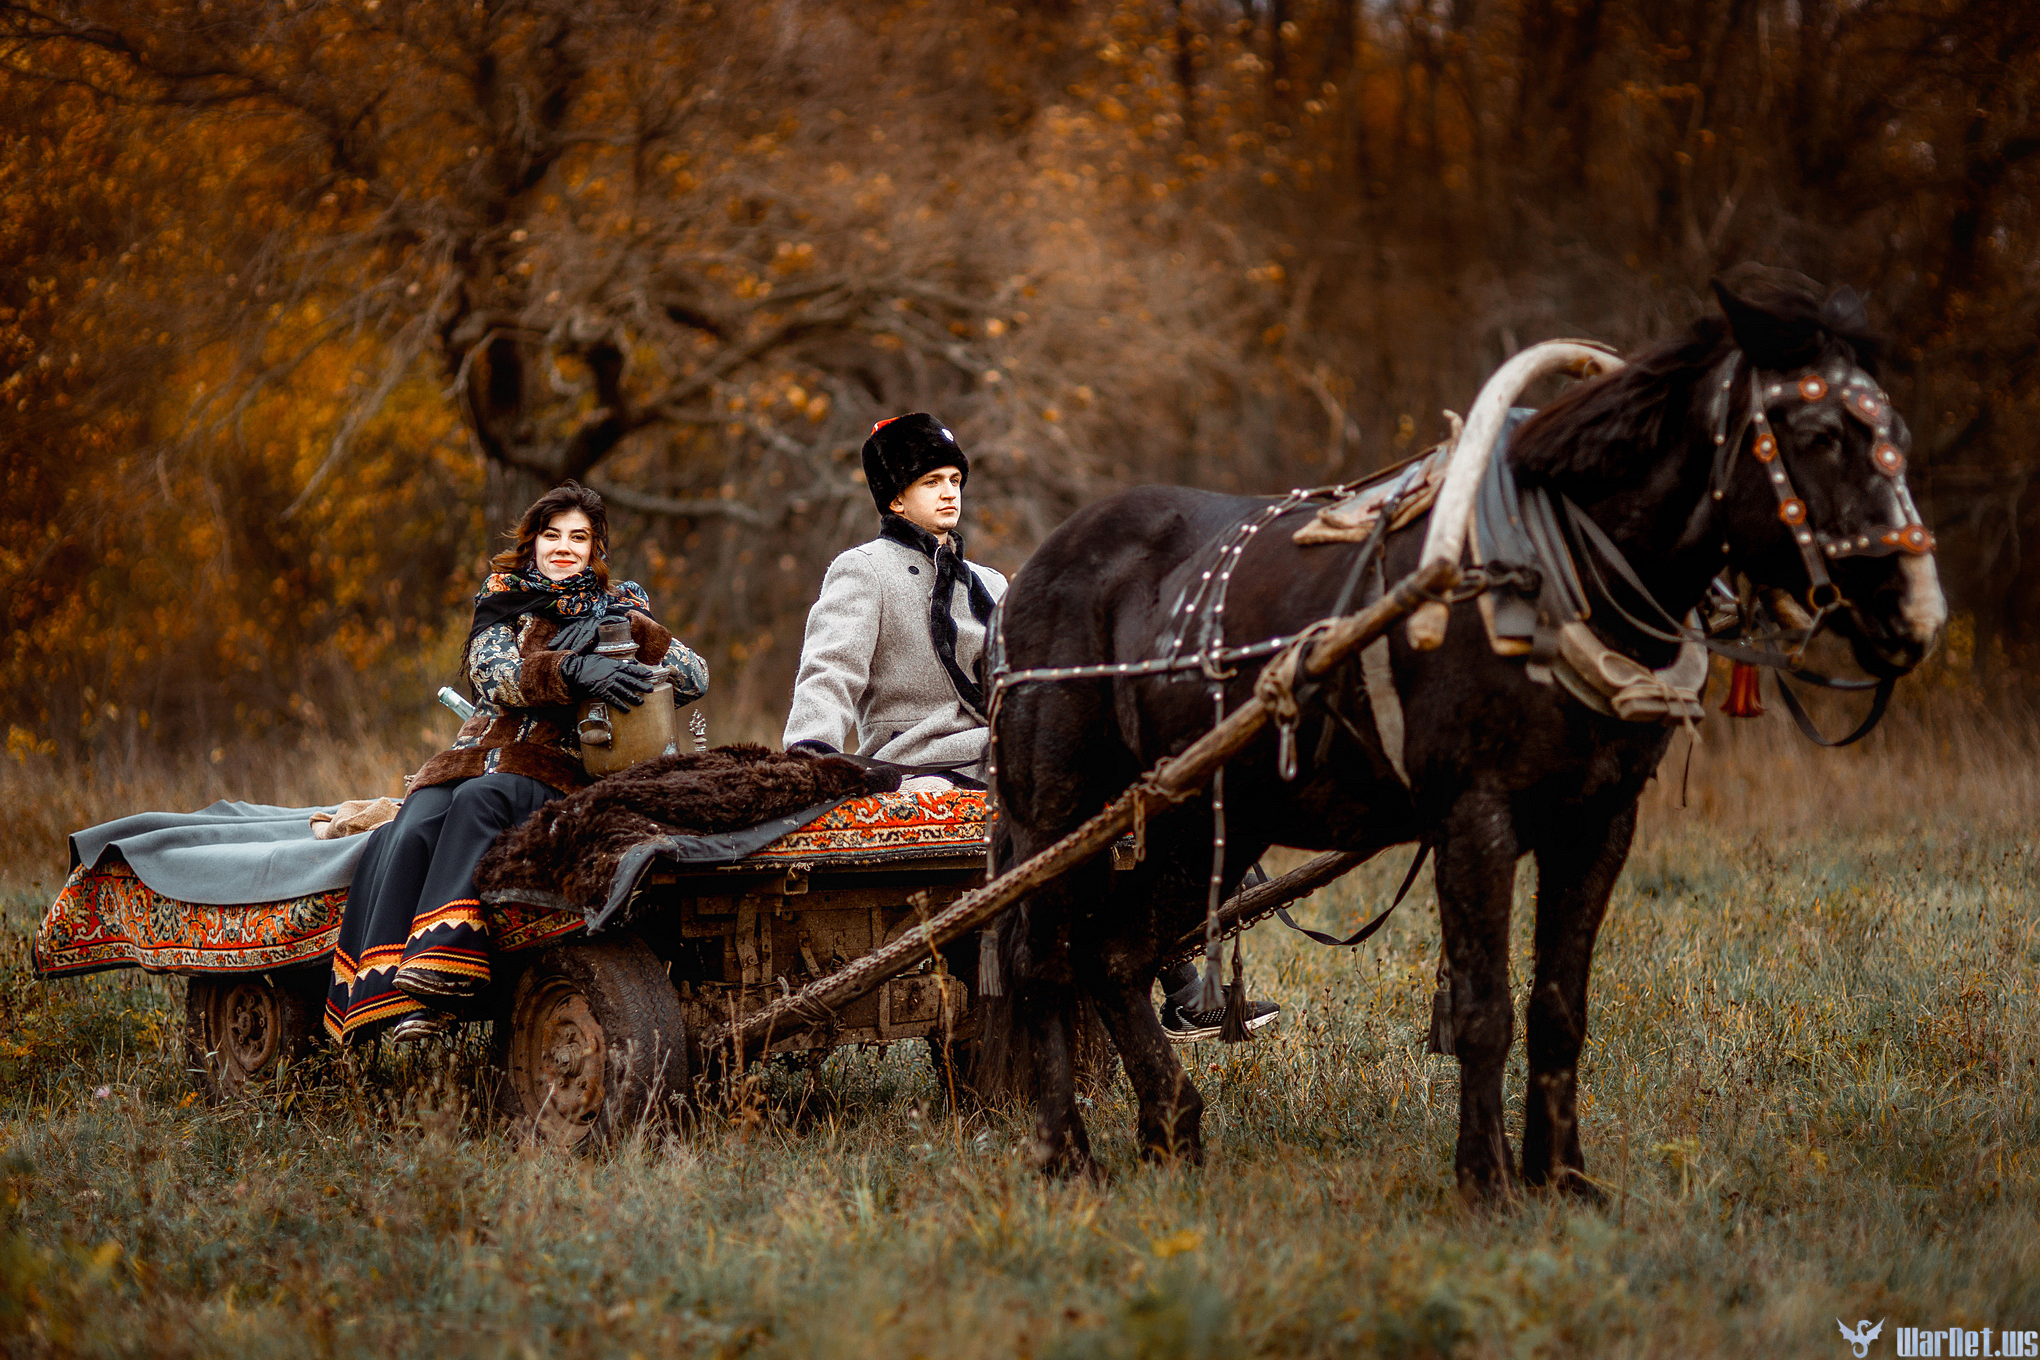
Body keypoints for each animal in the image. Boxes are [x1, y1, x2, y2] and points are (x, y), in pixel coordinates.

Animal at [983, 269, 1942, 1198]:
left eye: (1894, 427)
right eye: (1817, 432)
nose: (1916, 612)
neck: (1551, 574)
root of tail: (1038, 564)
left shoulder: (1599, 820)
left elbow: (1560, 1007)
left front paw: (1563, 1177)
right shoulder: (1473, 814)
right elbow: (1484, 1008)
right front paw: (1486, 1182)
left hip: (1198, 816)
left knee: (1116, 956)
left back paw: (1170, 1126)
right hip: (1057, 810)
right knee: (1041, 964)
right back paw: (1066, 1153)